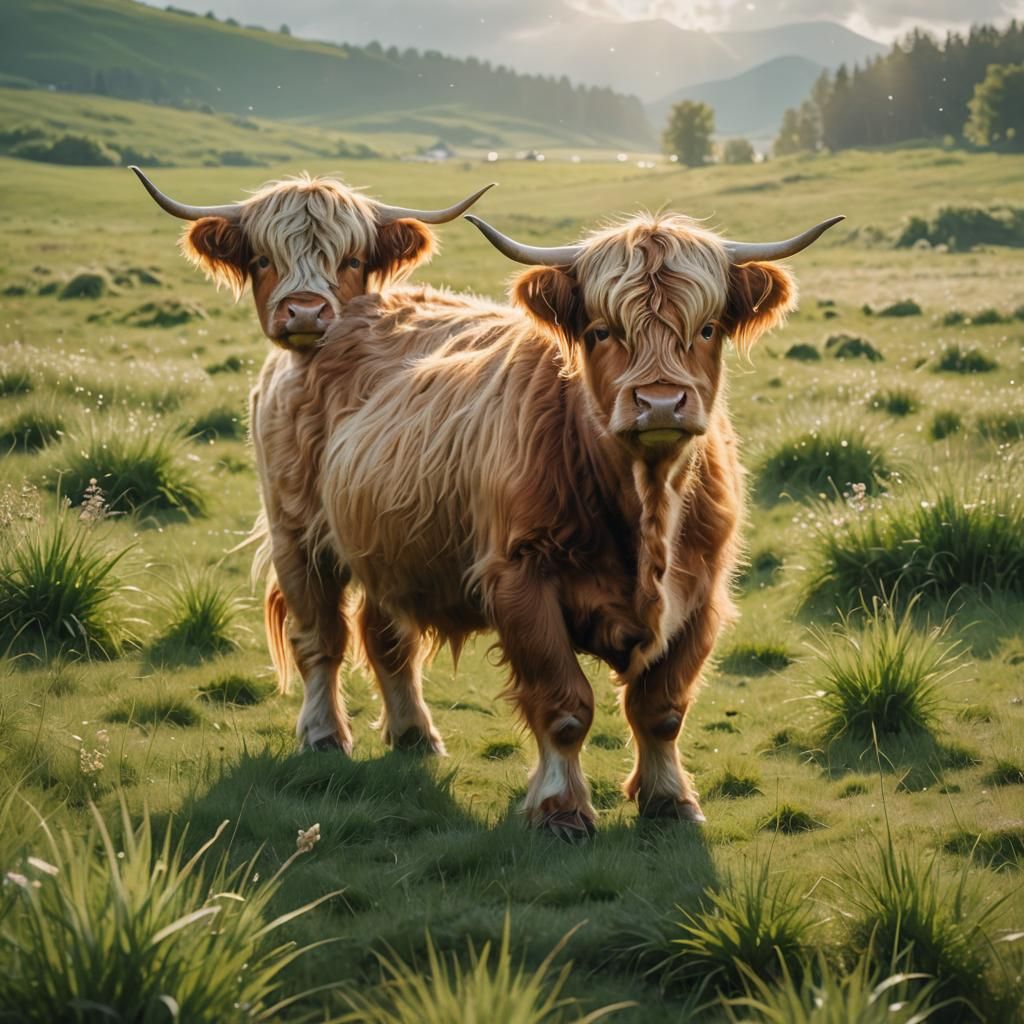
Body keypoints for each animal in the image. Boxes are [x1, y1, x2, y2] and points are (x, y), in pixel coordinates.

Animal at [252, 208, 842, 839]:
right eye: (603, 331)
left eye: (707, 329)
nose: (660, 403)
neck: (644, 506)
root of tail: (336, 317)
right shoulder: (520, 582)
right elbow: (565, 706)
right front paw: (561, 810)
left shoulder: (702, 592)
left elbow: (661, 708)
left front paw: (669, 800)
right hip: (297, 533)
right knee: (321, 639)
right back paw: (324, 735)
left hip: (387, 545)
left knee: (387, 640)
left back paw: (414, 735)